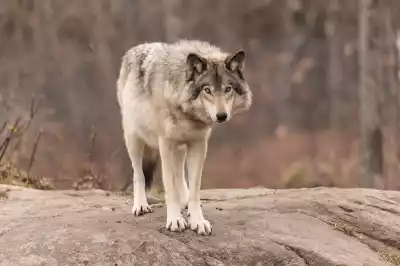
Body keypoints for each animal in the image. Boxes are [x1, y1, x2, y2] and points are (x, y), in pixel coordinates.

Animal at [116, 39, 253, 235]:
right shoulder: (166, 144)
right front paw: (174, 220)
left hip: (180, 147)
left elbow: (194, 188)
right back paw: (141, 205)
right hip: (134, 138)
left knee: (180, 174)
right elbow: (169, 187)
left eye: (228, 89)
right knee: (139, 173)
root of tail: (136, 48)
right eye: (207, 90)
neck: (187, 113)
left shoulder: (198, 144)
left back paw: (184, 202)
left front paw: (197, 221)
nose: (221, 116)